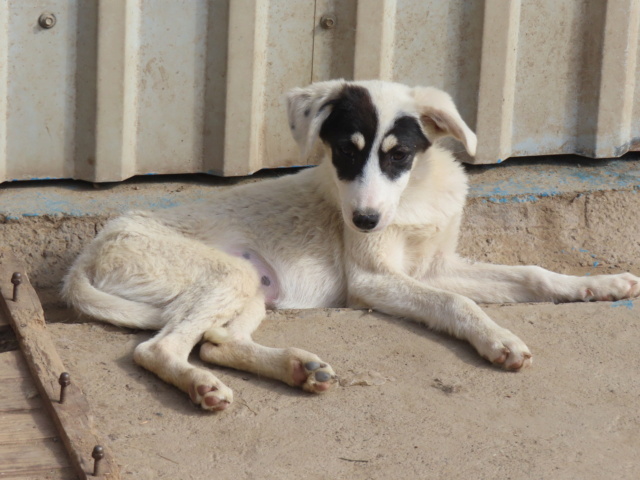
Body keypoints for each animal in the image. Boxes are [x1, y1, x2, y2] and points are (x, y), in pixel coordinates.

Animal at [61, 80, 640, 410]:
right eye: (345, 151)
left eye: (398, 155)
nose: (363, 220)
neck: (413, 196)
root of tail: (87, 255)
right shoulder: (373, 281)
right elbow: (457, 302)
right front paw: (499, 340)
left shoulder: (434, 266)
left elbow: (530, 274)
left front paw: (600, 284)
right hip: (225, 275)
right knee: (158, 348)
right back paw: (202, 386)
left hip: (250, 287)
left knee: (216, 341)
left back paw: (297, 369)